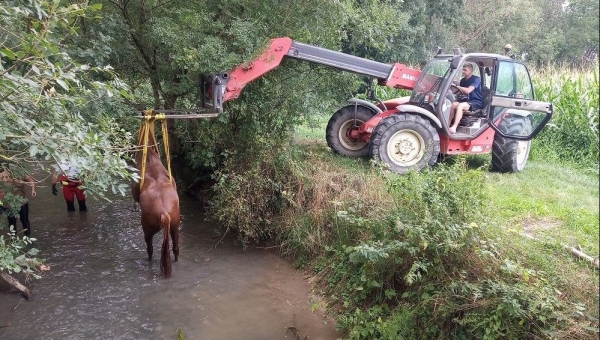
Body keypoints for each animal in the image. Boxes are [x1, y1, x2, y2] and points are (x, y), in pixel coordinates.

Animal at [131, 121, 179, 278]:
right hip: (175, 226)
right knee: (176, 248)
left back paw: (149, 260)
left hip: (147, 229)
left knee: (150, 248)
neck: (150, 159)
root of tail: (164, 213)